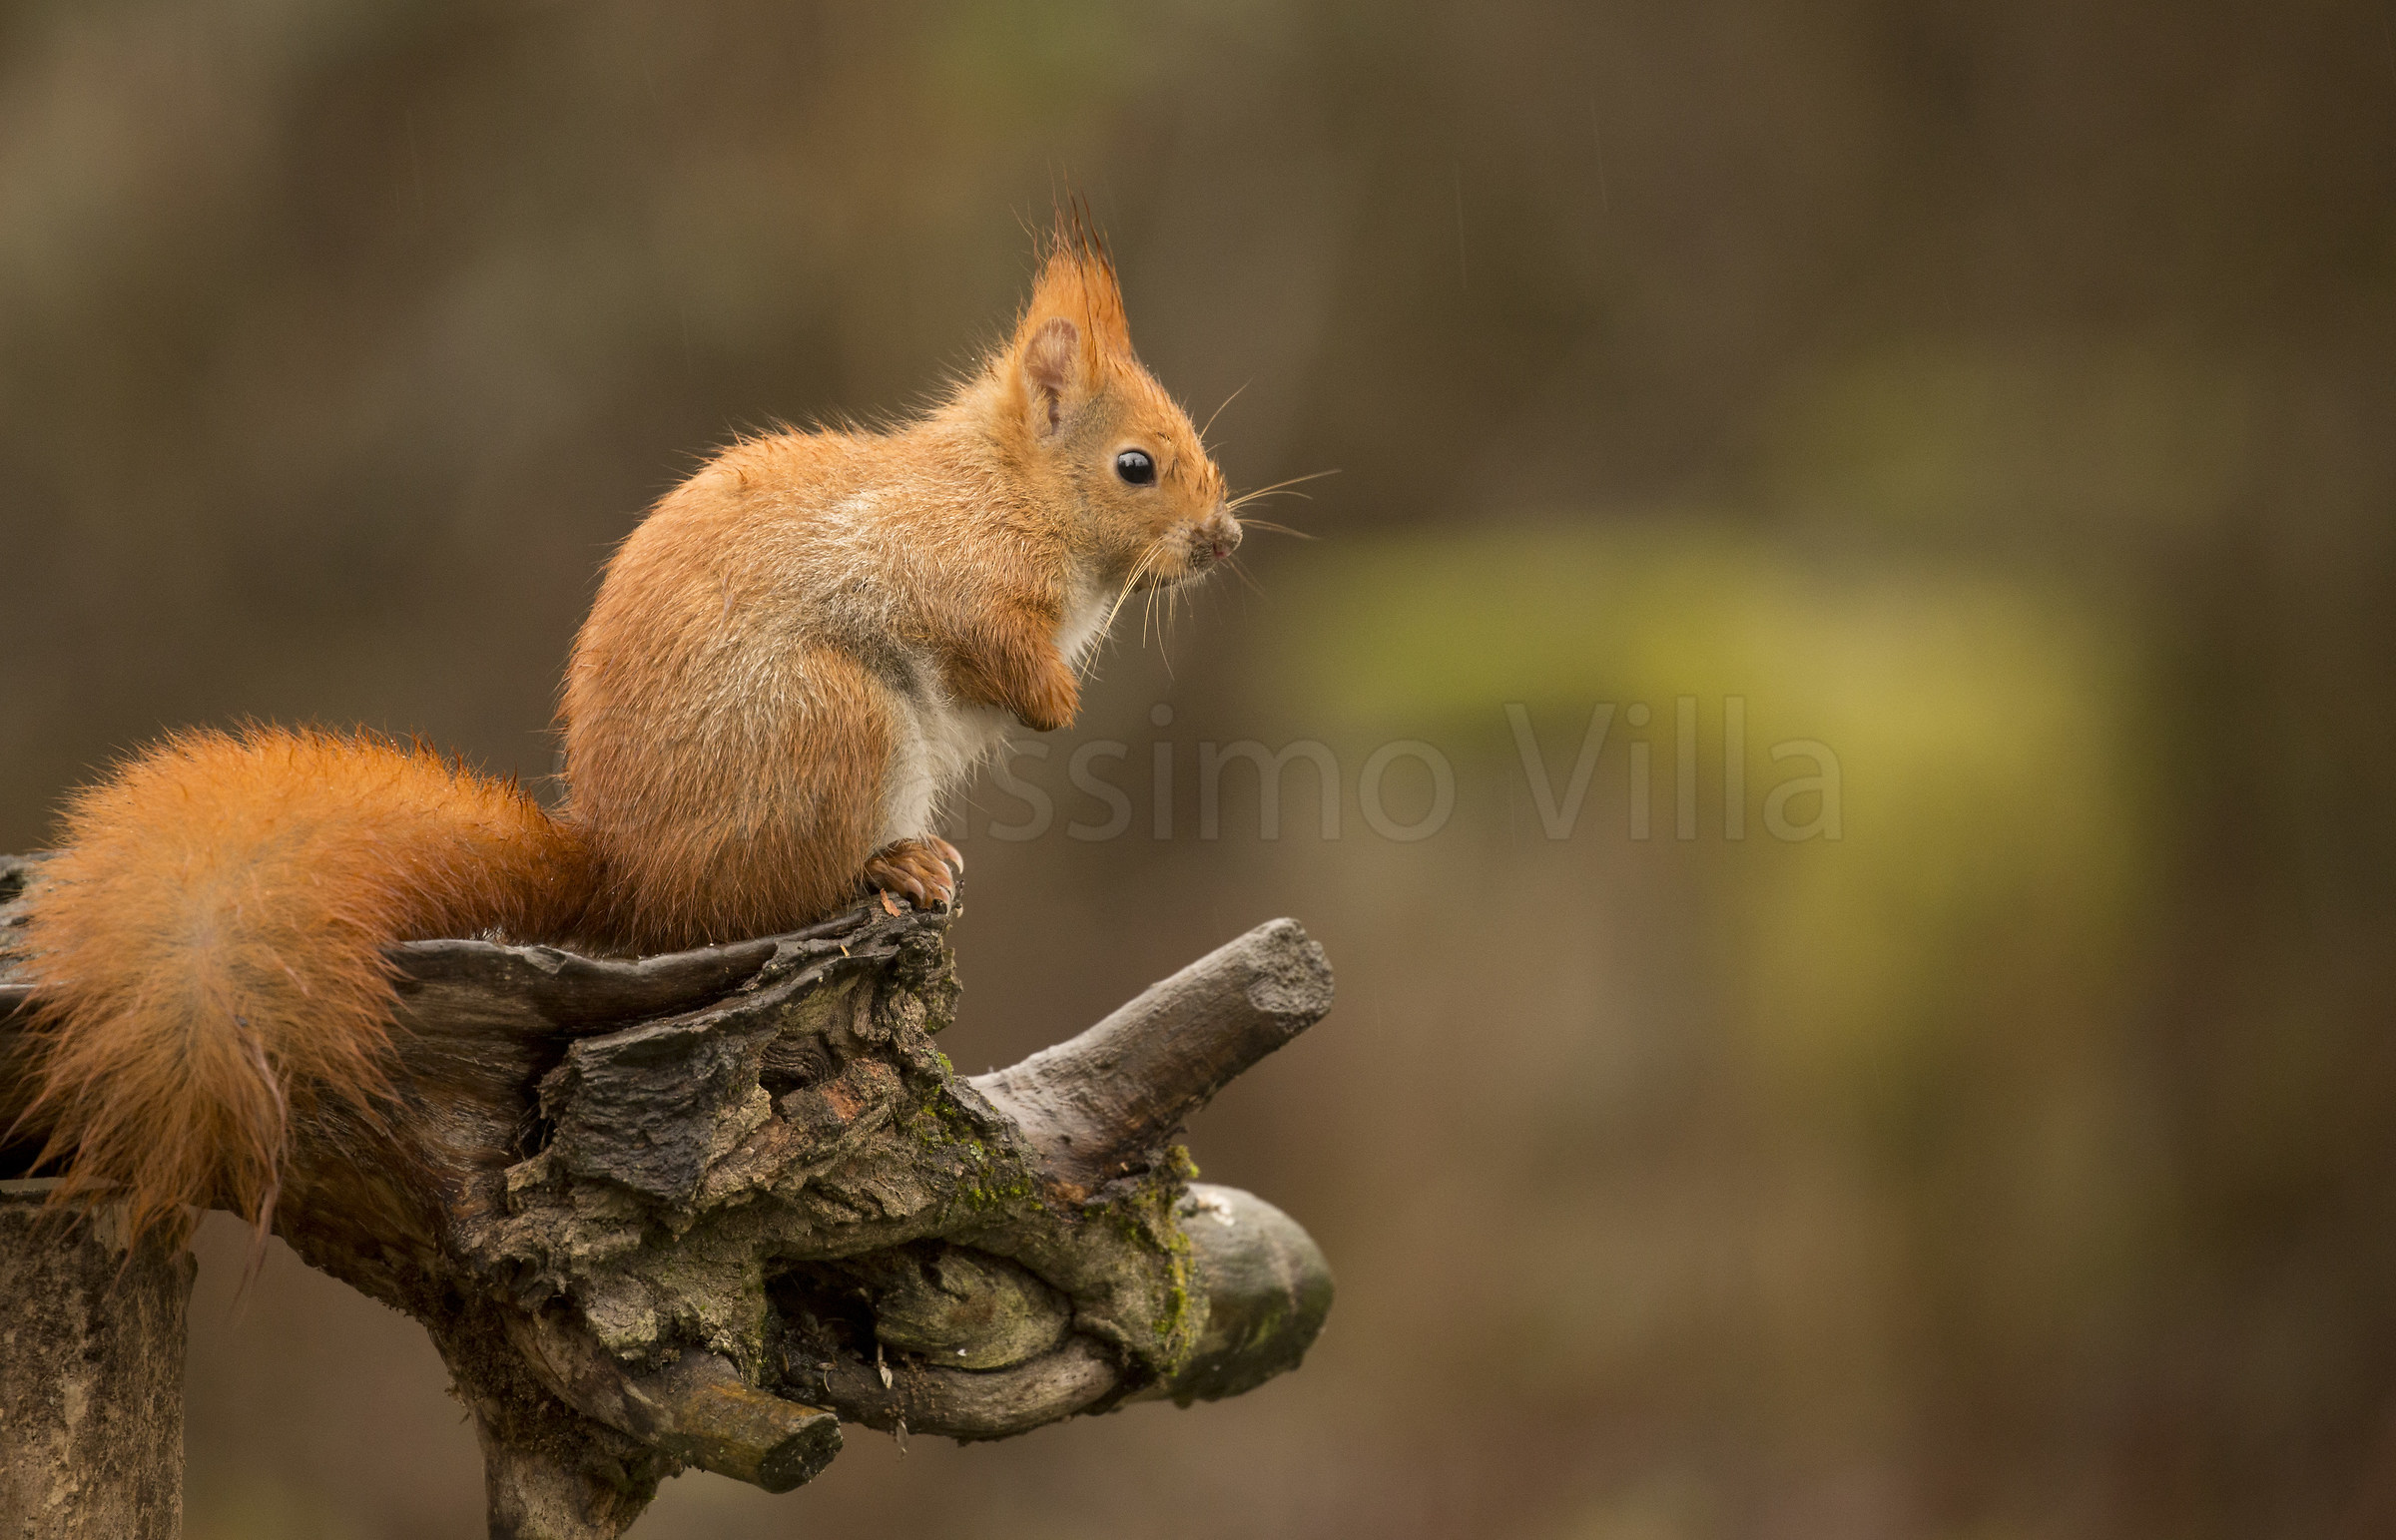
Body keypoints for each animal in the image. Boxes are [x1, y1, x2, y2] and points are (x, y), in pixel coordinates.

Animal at [15, 216, 1240, 1243]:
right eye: (1136, 465)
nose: (1224, 538)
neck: (1012, 494)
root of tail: (631, 879)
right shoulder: (931, 564)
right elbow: (986, 640)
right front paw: (1055, 700)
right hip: (834, 725)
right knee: (769, 898)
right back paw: (894, 865)